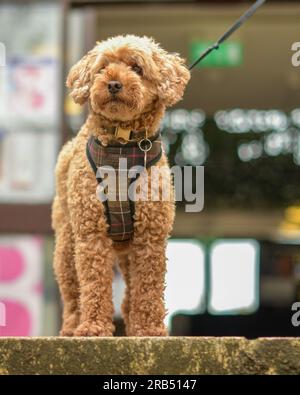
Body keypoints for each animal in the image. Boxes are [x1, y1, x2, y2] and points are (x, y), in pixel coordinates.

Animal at [52, 34, 190, 338]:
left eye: (137, 68)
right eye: (103, 68)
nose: (113, 83)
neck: (122, 148)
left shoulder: (150, 235)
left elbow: (148, 289)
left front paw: (149, 329)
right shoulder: (91, 234)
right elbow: (94, 285)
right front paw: (93, 327)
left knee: (129, 295)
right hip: (67, 243)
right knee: (72, 292)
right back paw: (71, 327)